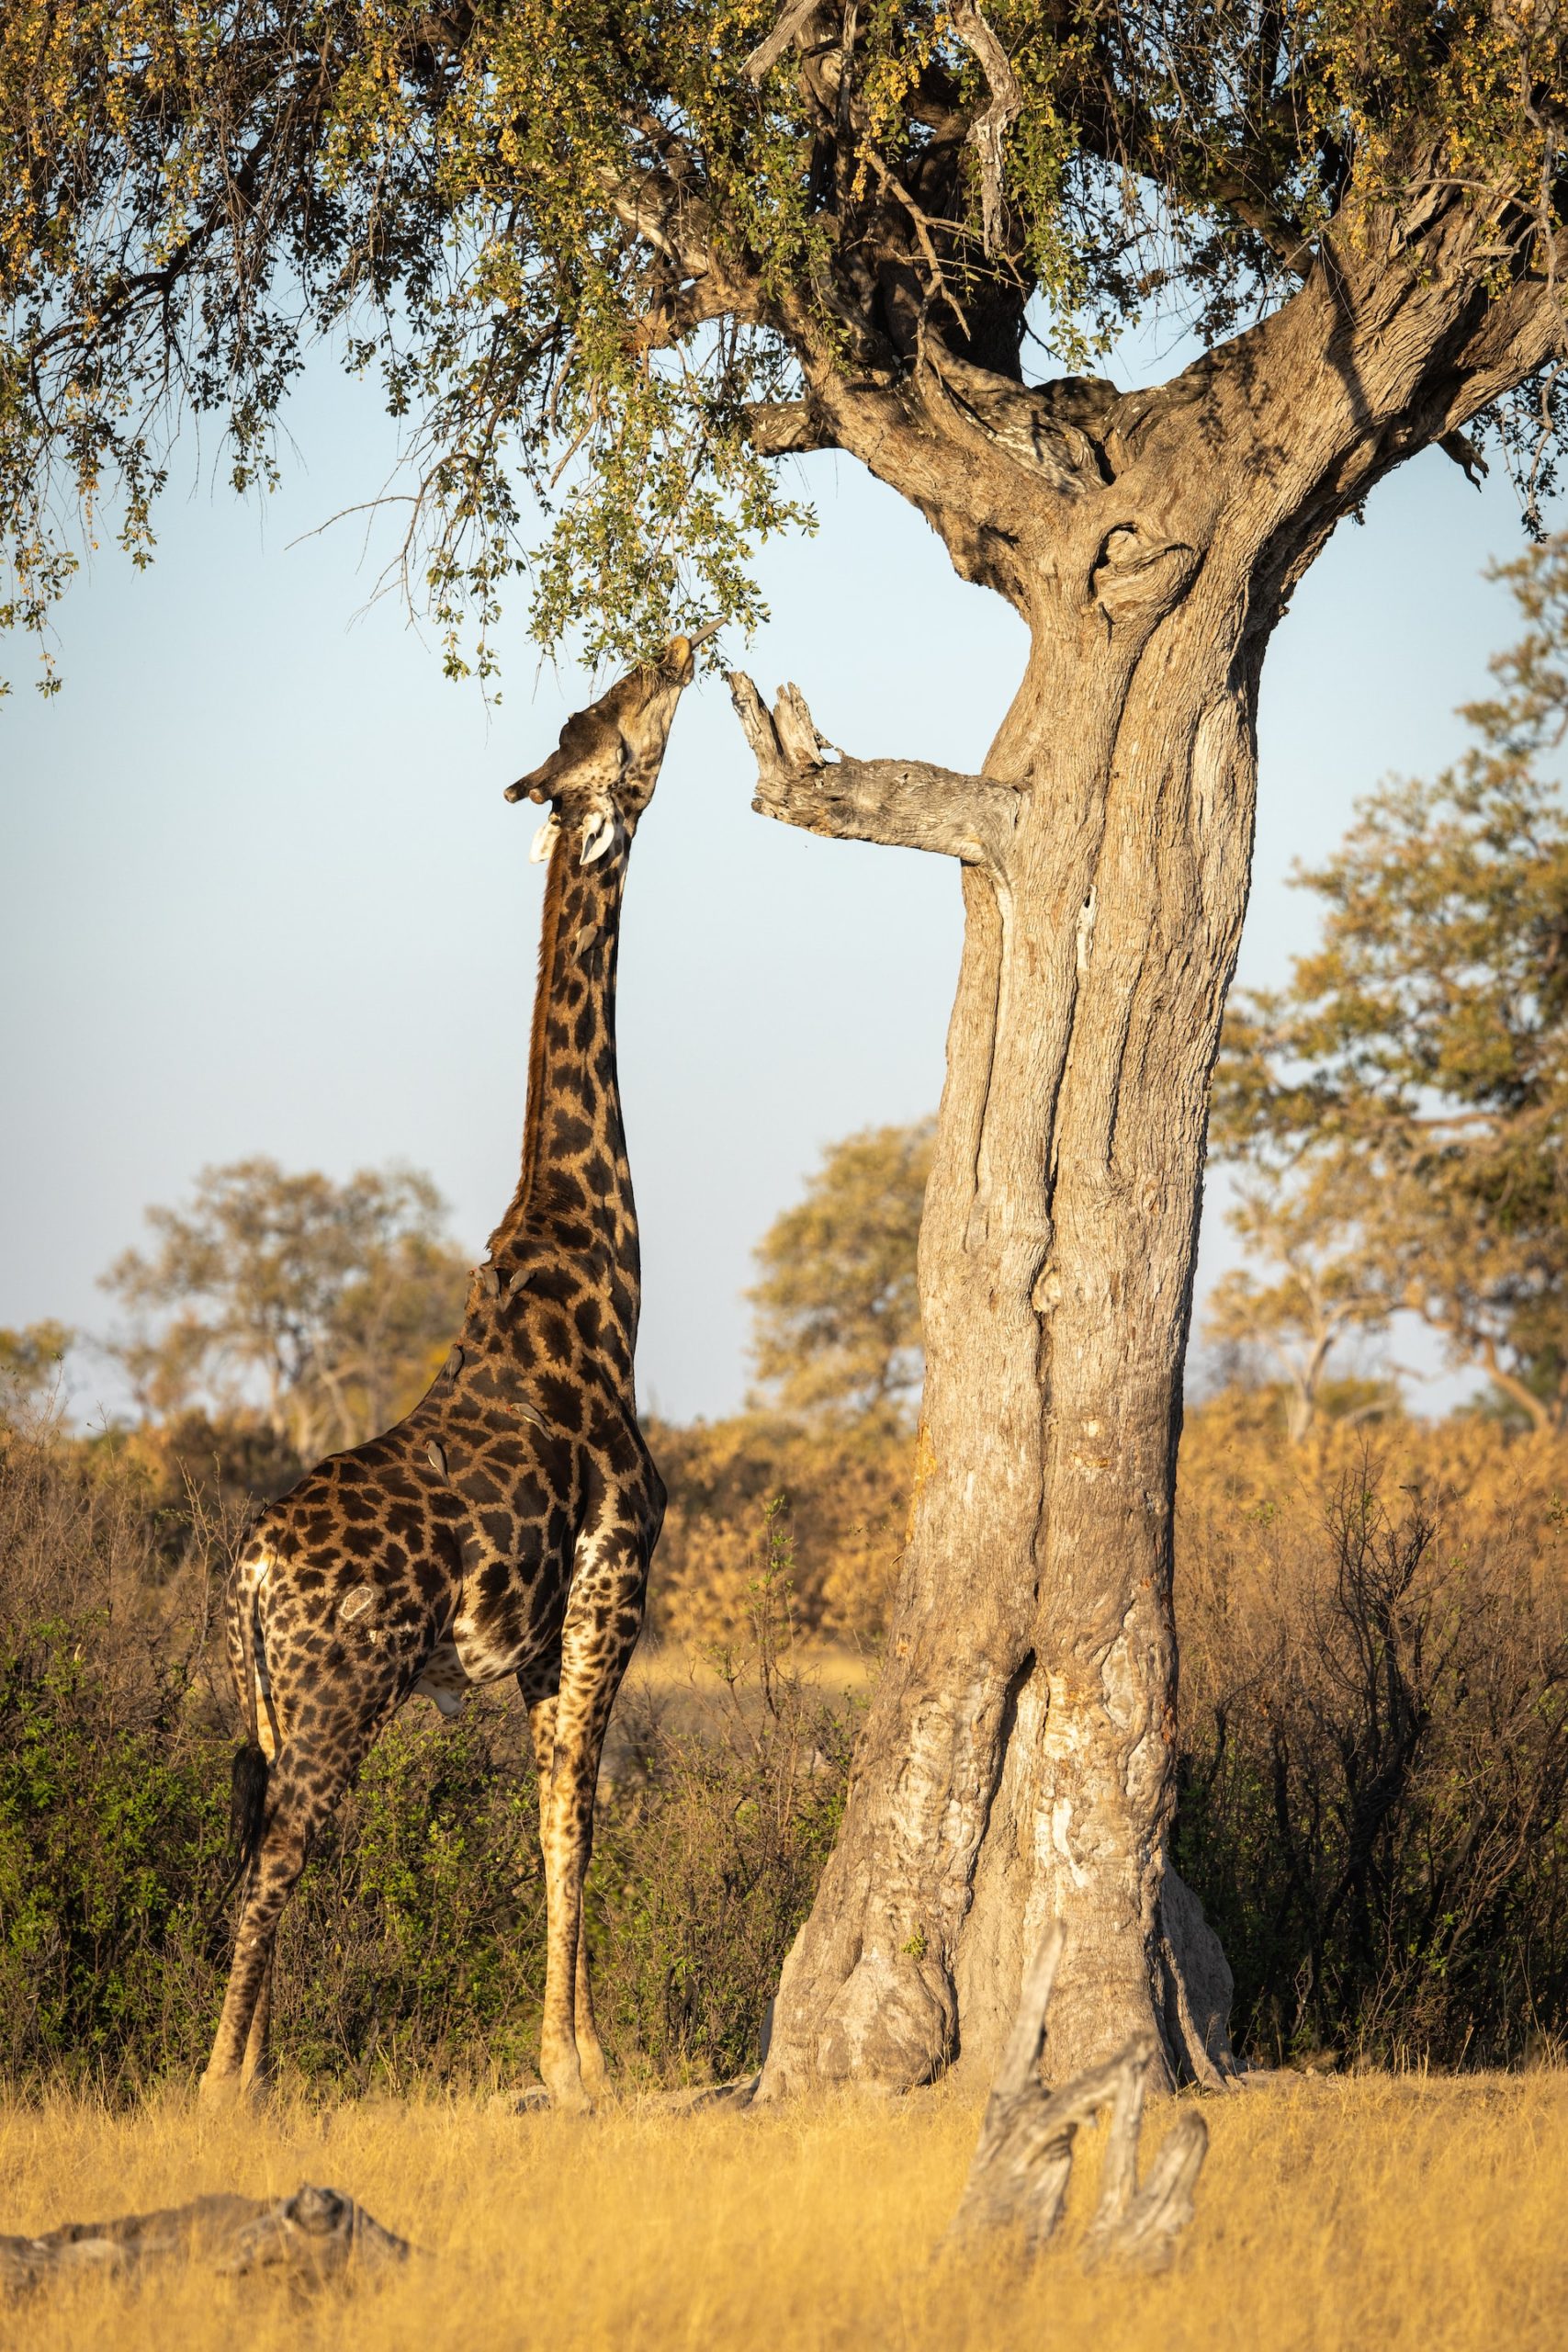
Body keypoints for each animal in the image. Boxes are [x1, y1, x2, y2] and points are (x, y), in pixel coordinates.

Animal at [200, 630, 705, 2117]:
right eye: (617, 725)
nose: (677, 642)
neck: (603, 1277)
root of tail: (248, 1576)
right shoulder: (609, 1593)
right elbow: (575, 1815)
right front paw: (575, 2067)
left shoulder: (539, 1646)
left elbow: (556, 1818)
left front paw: (579, 2053)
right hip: (336, 1696)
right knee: (268, 1869)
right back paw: (222, 2090)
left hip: (272, 1708)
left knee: (256, 1849)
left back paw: (255, 2074)